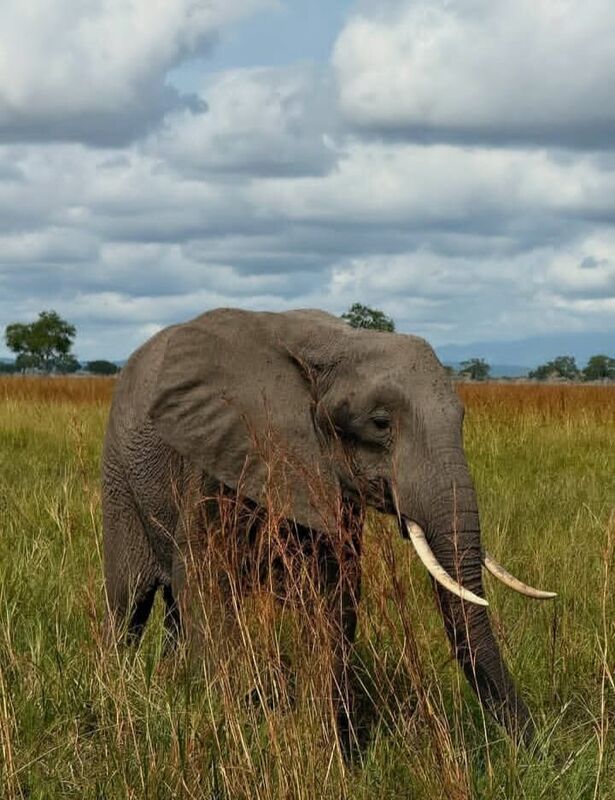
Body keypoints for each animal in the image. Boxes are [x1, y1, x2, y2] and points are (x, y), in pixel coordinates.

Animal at [102, 307, 555, 751]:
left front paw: (332, 746)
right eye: (380, 423)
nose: (535, 750)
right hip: (119, 477)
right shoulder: (216, 462)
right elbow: (205, 582)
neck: (333, 342)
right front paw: (236, 725)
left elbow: (335, 596)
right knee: (129, 602)